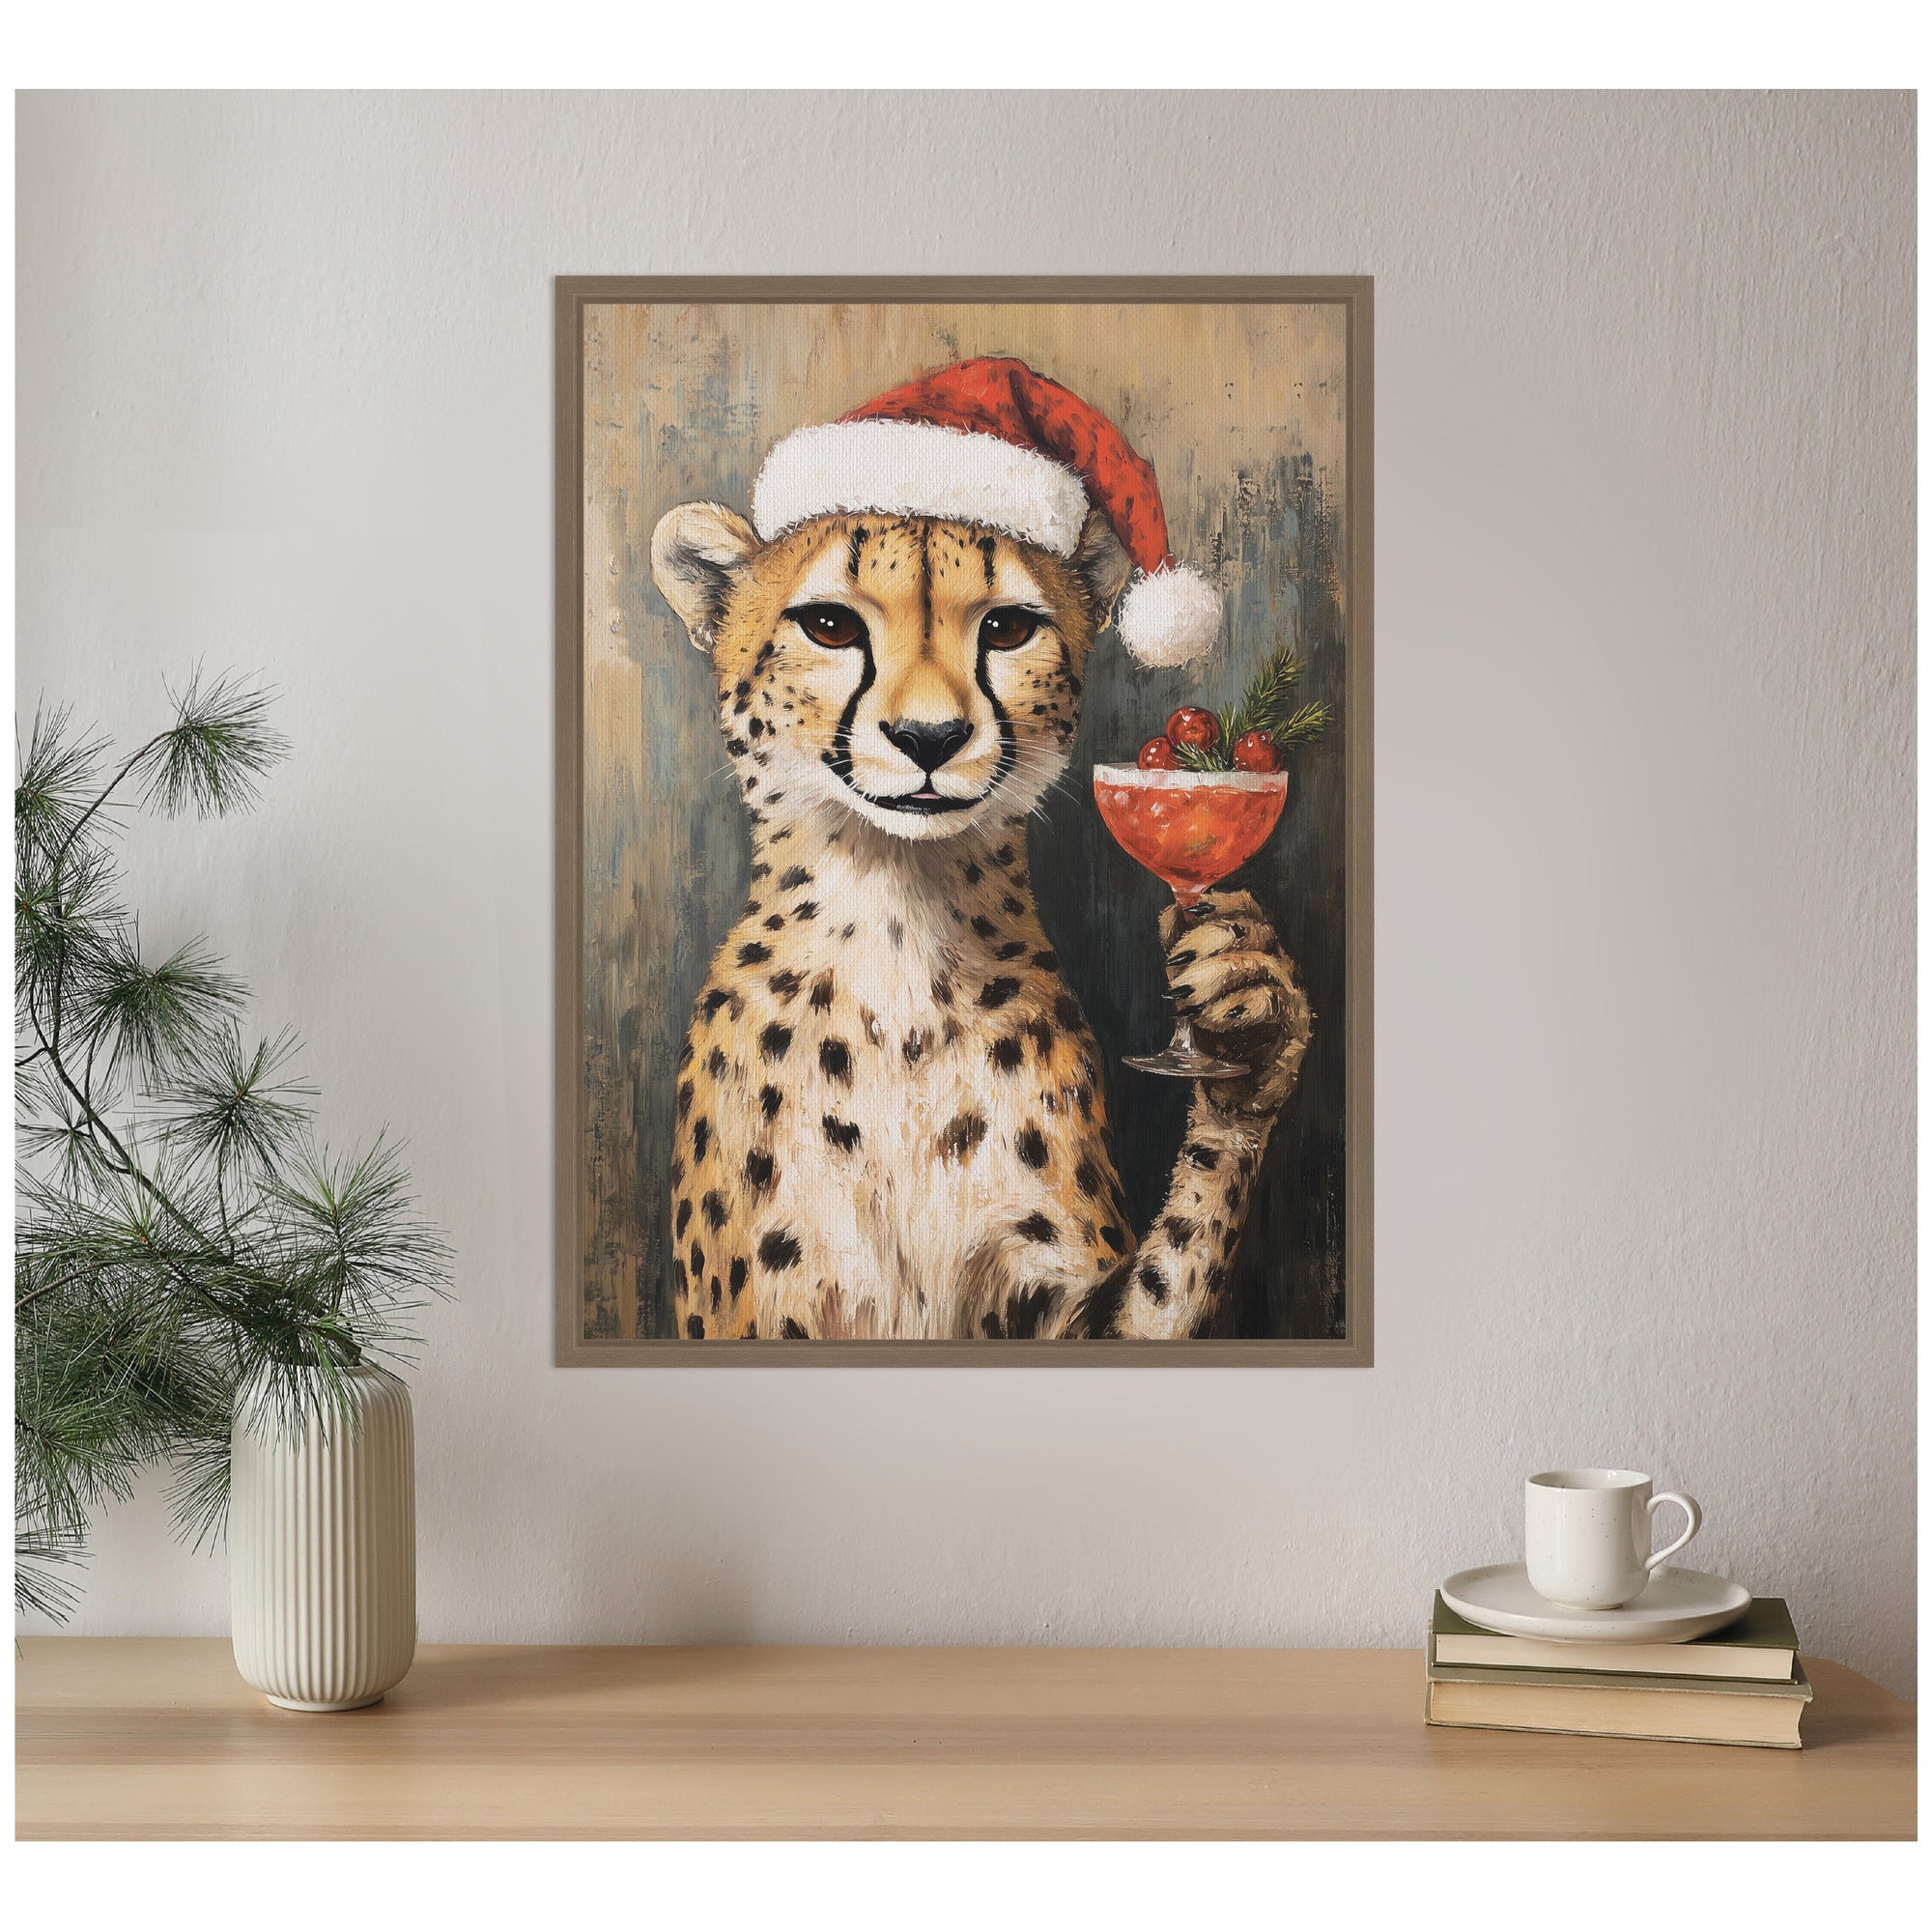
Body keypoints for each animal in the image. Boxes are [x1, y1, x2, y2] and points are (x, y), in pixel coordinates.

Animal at [649, 499, 1313, 1341]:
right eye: (830, 626)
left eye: (1007, 628)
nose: (929, 737)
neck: (898, 916)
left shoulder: (1059, 1310)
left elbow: (1173, 1273)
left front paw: (1250, 1012)